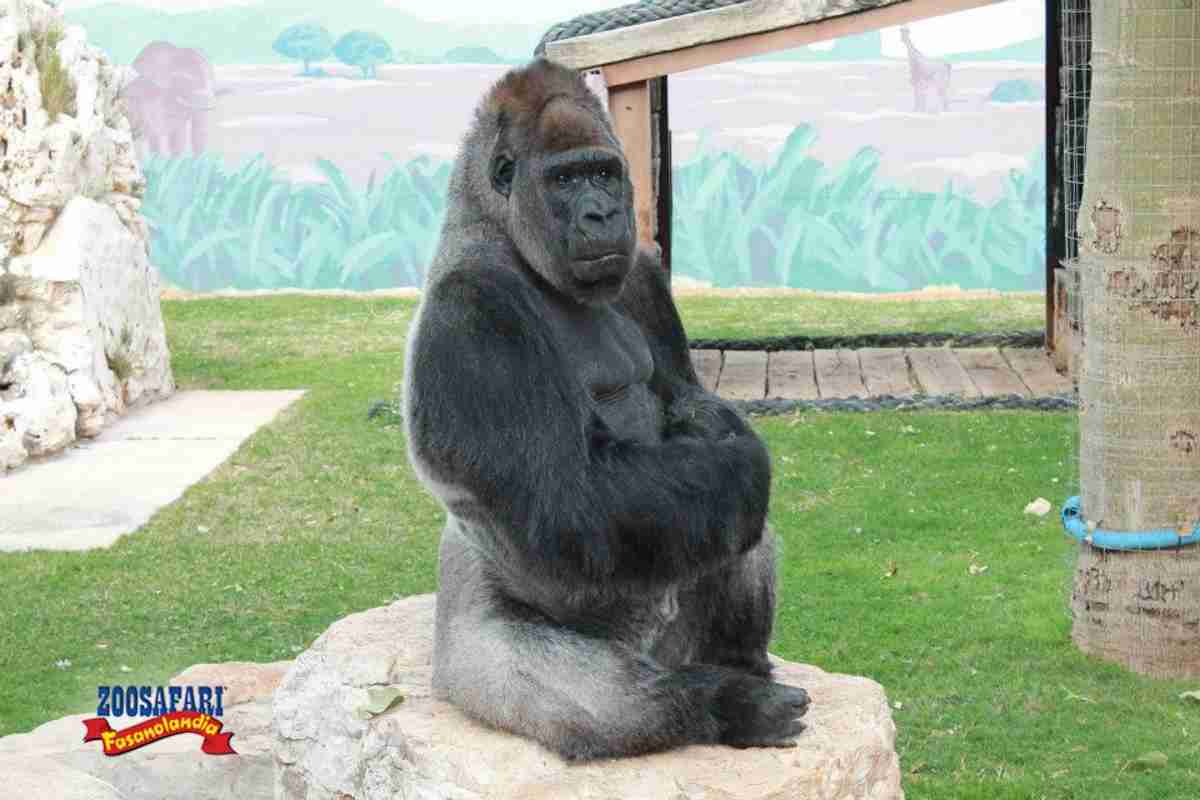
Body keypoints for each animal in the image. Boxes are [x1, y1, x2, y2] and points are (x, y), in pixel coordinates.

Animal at [402, 58, 809, 761]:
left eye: (603, 172)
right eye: (565, 180)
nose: (601, 213)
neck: (499, 226)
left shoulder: (643, 274)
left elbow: (696, 411)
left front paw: (715, 425)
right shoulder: (472, 314)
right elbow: (569, 497)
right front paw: (736, 451)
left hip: (677, 641)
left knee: (734, 521)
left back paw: (740, 668)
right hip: (471, 653)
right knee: (605, 701)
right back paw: (725, 703)